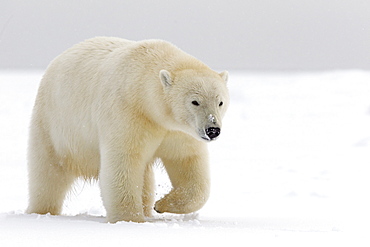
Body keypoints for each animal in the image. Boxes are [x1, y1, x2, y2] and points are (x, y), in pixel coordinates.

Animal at [26, 37, 228, 224]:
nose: (212, 130)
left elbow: (187, 162)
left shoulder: (177, 131)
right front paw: (129, 220)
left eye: (220, 102)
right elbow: (124, 162)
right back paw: (41, 211)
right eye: (195, 101)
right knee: (47, 174)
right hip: (54, 125)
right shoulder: (127, 112)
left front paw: (162, 204)